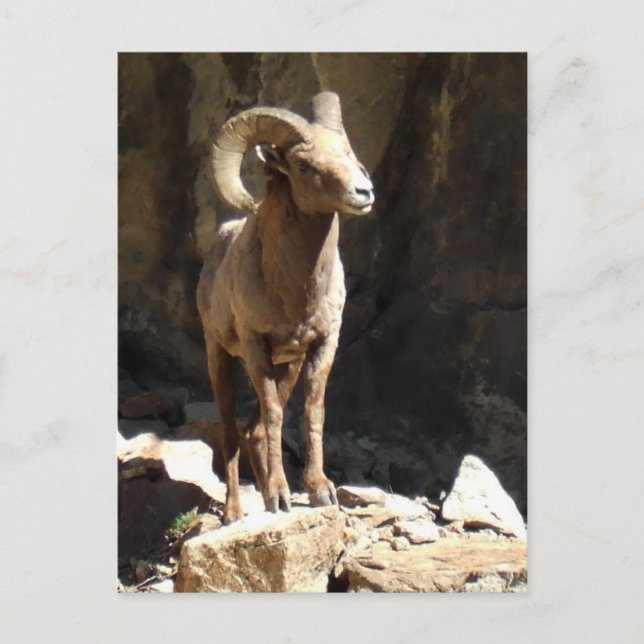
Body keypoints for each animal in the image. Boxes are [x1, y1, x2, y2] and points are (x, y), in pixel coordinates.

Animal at [197, 92, 374, 524]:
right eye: (303, 165)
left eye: (347, 153)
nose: (363, 192)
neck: (295, 291)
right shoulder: (256, 345)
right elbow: (276, 413)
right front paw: (280, 495)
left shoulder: (320, 345)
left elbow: (312, 410)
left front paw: (318, 490)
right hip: (220, 357)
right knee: (231, 431)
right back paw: (235, 511)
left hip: (286, 366)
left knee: (255, 431)